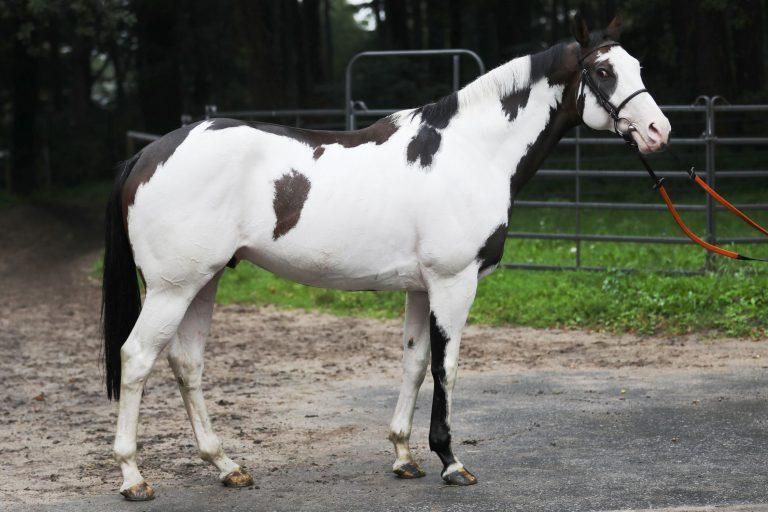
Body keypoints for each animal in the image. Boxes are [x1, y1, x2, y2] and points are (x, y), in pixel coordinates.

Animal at [102, 14, 671, 500]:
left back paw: (226, 466)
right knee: (137, 358)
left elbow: (415, 362)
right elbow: (447, 366)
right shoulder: (454, 283)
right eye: (603, 71)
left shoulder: (422, 287)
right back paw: (133, 477)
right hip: (173, 287)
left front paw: (404, 455)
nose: (658, 132)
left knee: (186, 364)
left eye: (639, 67)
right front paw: (450, 462)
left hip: (205, 280)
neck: (470, 152)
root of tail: (147, 153)